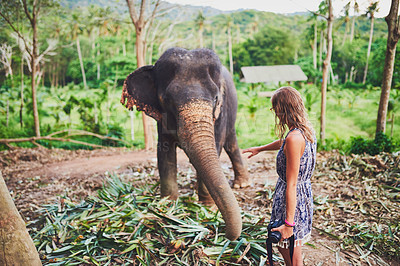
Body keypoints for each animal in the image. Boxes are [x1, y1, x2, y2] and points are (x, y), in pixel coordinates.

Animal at [120, 47, 248, 241]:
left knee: (231, 143)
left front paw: (207, 207)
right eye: (167, 100)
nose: (223, 233)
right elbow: (164, 153)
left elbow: (216, 146)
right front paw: (167, 207)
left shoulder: (221, 112)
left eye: (216, 98)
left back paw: (241, 185)